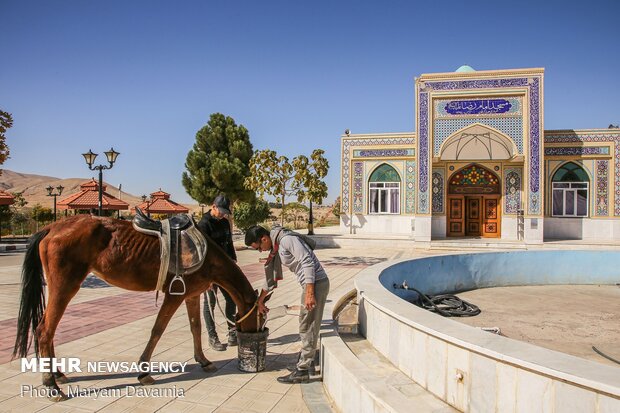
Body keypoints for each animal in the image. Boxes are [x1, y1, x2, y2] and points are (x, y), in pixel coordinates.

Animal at [13, 214, 262, 400]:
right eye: (261, 315)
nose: (258, 335)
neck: (205, 254)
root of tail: (51, 228)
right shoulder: (174, 295)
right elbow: (158, 330)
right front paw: (143, 372)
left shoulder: (192, 295)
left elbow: (196, 327)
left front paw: (203, 360)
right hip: (64, 286)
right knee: (45, 330)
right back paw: (51, 385)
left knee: (49, 330)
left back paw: (57, 374)